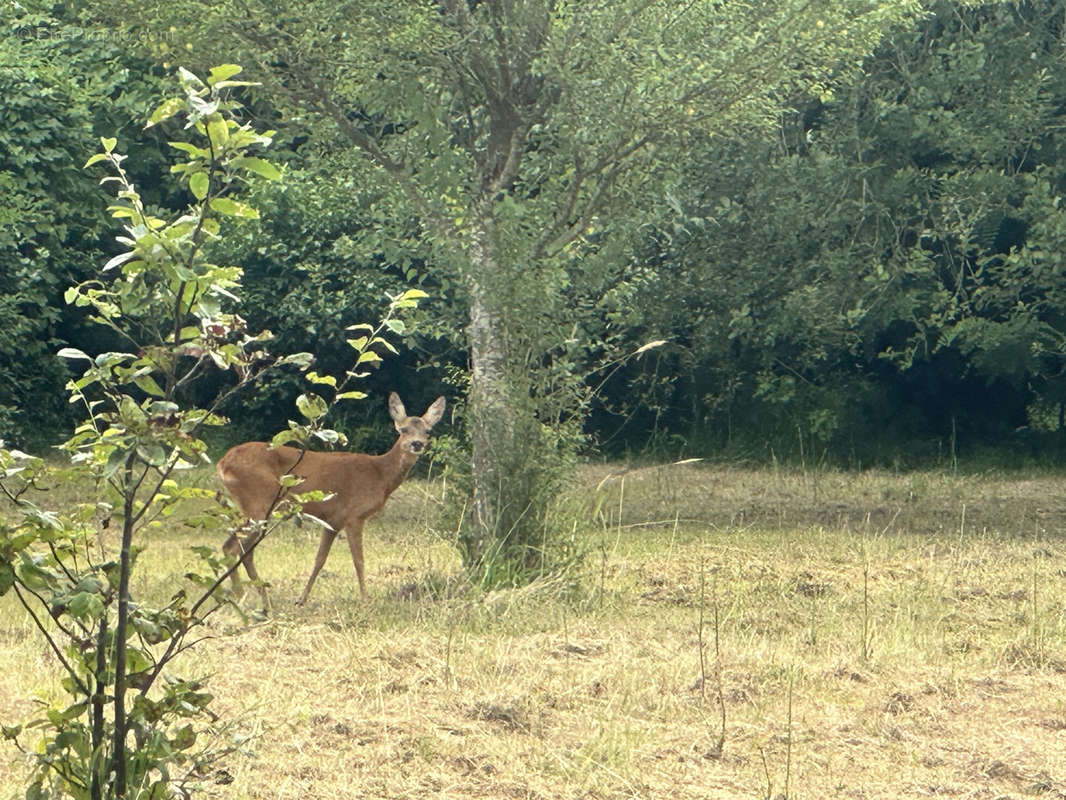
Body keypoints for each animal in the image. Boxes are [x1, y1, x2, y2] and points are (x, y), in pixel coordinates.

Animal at [216, 392, 445, 610]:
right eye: (404, 429)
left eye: (428, 431)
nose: (417, 444)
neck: (379, 475)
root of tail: (223, 463)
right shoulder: (354, 515)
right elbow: (359, 560)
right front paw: (365, 600)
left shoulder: (333, 520)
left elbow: (320, 559)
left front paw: (301, 599)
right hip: (259, 502)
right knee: (234, 547)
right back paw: (242, 598)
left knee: (240, 549)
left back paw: (261, 601)